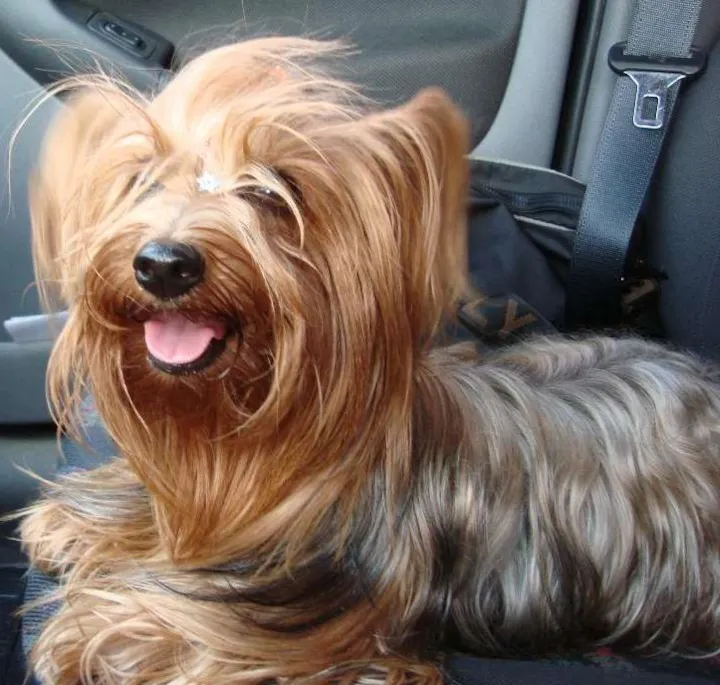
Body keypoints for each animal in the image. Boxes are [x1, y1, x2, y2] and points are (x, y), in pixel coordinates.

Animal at [19, 37, 720, 685]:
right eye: (145, 180)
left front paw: (100, 632)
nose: (164, 263)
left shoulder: (312, 613)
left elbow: (186, 629)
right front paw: (72, 523)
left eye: (274, 192)